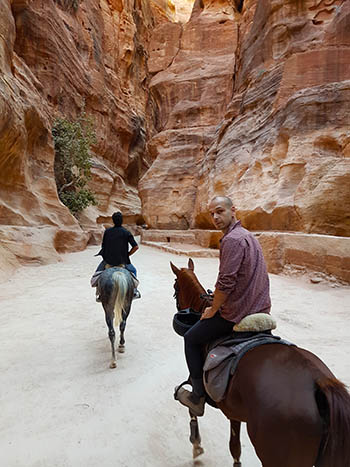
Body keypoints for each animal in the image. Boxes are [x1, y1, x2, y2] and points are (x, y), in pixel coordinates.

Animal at [172, 258, 350, 467]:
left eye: (175, 286)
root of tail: (320, 382)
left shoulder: (195, 381)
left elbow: (192, 409)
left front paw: (196, 445)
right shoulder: (234, 411)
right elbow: (235, 448)